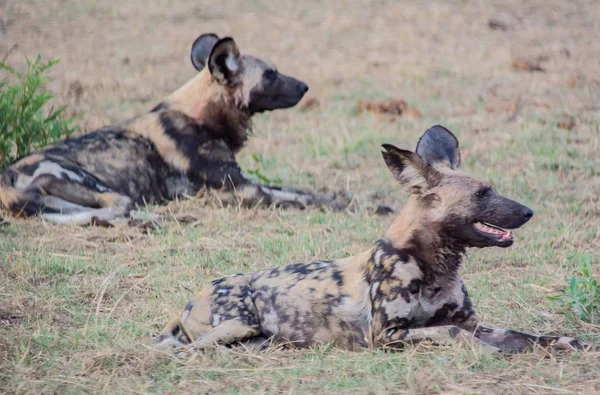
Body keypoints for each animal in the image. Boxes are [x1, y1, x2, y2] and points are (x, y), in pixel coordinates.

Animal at [0, 33, 346, 226]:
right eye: (270, 74)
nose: (304, 86)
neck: (202, 116)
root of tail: (8, 174)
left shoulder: (244, 183)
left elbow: (302, 190)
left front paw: (343, 194)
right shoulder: (242, 190)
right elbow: (300, 198)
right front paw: (351, 205)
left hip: (52, 201)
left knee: (101, 214)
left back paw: (166, 219)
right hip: (92, 183)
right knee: (118, 208)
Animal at [157, 125, 596, 354]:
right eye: (482, 194)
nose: (528, 212)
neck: (434, 267)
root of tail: (190, 299)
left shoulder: (474, 322)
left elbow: (526, 335)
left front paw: (568, 342)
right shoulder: (386, 335)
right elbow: (453, 333)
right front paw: (485, 351)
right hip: (236, 325)